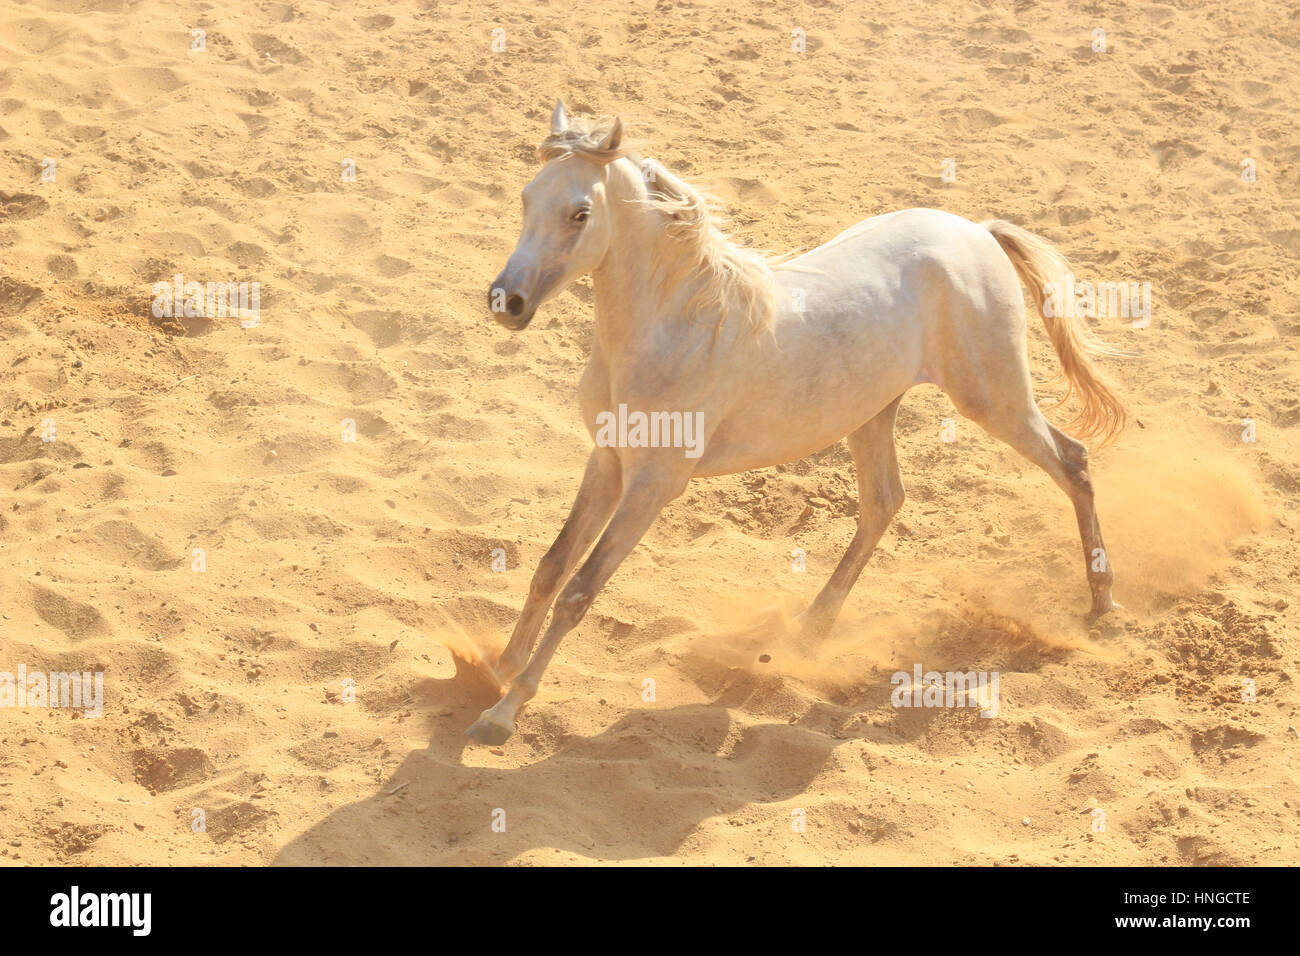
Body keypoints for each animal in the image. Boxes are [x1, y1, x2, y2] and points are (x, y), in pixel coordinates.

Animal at [470, 99, 1127, 745]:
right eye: (527, 197)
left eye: (580, 213)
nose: (508, 302)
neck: (675, 328)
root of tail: (978, 233)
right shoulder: (607, 461)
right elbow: (552, 567)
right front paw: (500, 668)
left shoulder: (653, 485)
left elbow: (580, 590)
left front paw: (503, 712)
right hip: (874, 412)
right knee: (885, 501)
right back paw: (809, 632)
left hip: (993, 398)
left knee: (1072, 461)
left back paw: (1103, 606)